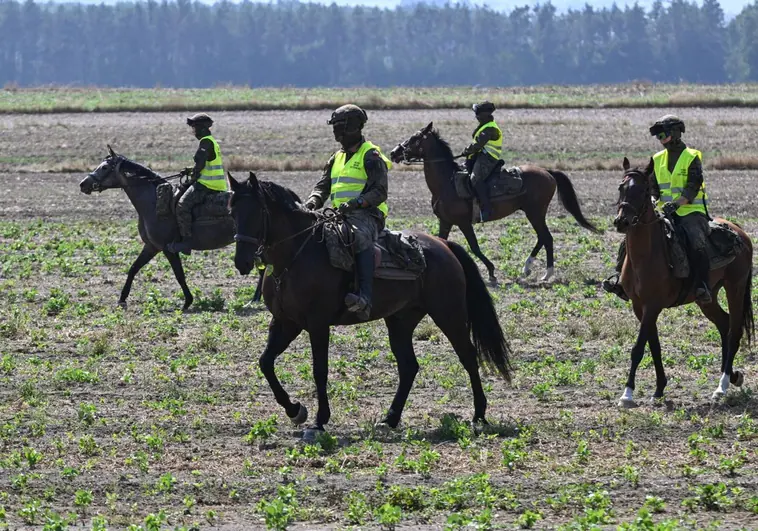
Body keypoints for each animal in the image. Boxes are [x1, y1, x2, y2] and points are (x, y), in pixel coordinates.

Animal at [80, 147, 235, 312]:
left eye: (104, 167)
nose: (83, 184)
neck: (154, 203)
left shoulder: (168, 249)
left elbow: (179, 275)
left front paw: (187, 301)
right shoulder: (151, 246)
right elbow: (133, 268)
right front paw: (122, 300)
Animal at [226, 171, 510, 440]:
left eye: (256, 212)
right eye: (232, 212)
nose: (242, 261)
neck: (296, 256)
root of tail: (443, 245)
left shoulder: (317, 324)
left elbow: (320, 370)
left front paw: (319, 421)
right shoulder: (286, 322)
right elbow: (265, 362)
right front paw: (295, 410)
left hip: (449, 314)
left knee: (468, 356)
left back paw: (479, 415)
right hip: (401, 321)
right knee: (409, 366)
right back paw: (390, 419)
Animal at [392, 123, 600, 282]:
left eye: (415, 138)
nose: (394, 152)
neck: (447, 182)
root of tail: (547, 172)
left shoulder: (463, 223)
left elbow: (474, 246)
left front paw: (491, 272)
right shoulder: (445, 221)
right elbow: (440, 241)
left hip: (534, 212)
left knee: (546, 237)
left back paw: (546, 274)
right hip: (534, 213)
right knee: (542, 237)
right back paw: (527, 269)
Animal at [616, 158, 756, 408]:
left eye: (642, 191)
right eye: (621, 187)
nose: (622, 221)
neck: (647, 255)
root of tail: (740, 232)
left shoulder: (652, 305)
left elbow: (638, 348)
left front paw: (627, 394)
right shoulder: (639, 307)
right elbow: (654, 346)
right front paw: (659, 389)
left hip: (735, 288)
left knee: (734, 331)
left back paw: (722, 386)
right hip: (707, 297)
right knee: (724, 325)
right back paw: (732, 376)